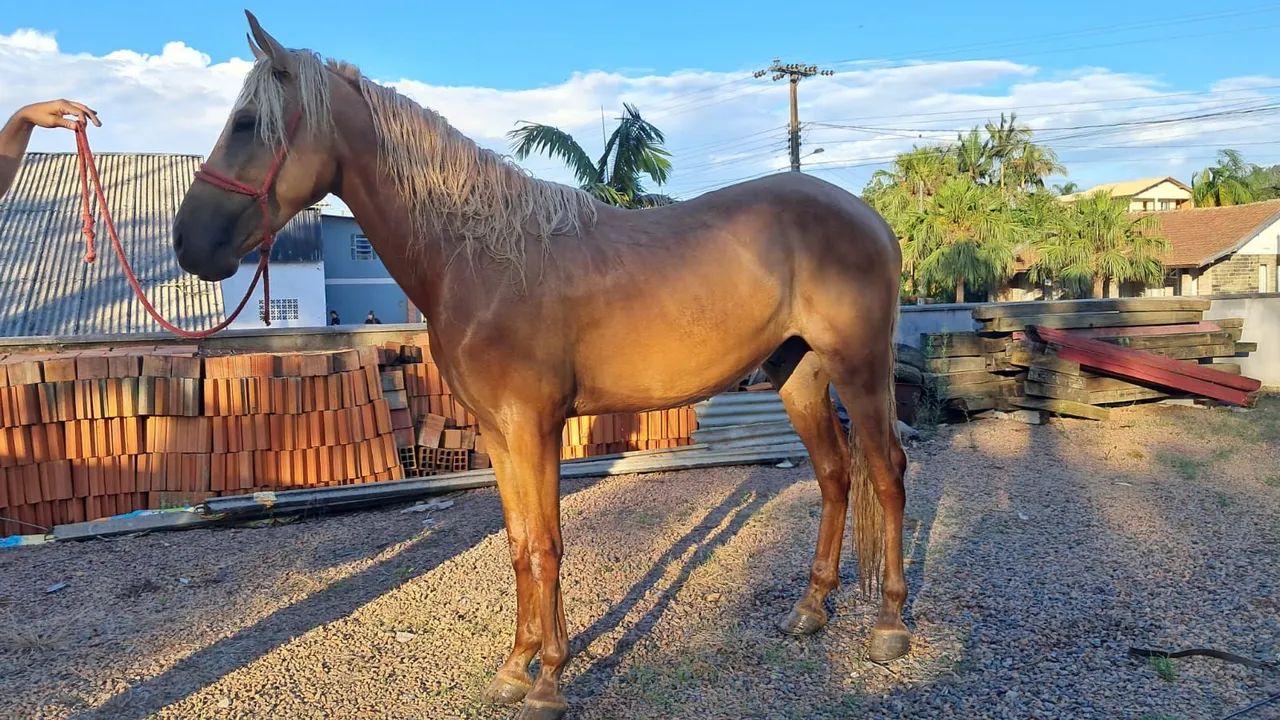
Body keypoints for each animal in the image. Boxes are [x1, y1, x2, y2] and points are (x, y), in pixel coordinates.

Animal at [172, 11, 910, 719]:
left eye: (246, 123)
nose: (186, 242)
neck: (480, 256)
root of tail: (868, 215)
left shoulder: (534, 426)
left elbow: (547, 544)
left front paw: (548, 682)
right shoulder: (499, 433)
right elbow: (520, 542)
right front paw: (515, 667)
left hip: (859, 369)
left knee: (886, 472)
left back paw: (889, 627)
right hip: (799, 375)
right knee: (834, 475)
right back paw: (811, 610)